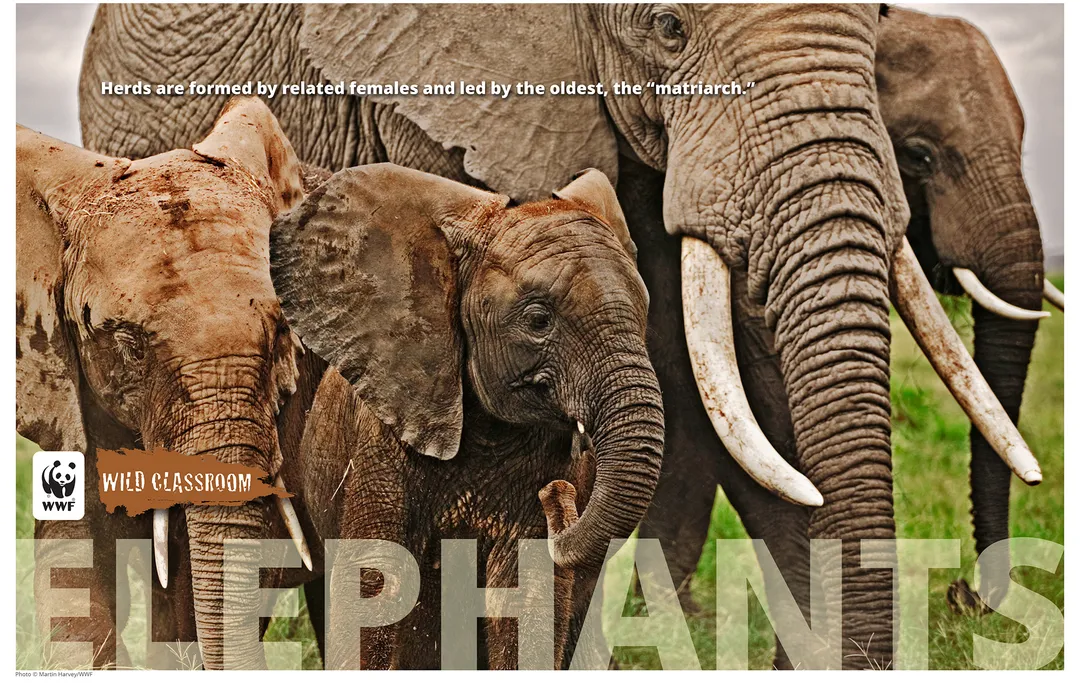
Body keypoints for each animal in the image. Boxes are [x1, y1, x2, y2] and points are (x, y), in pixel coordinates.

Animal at [267, 164, 663, 668]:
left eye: (644, 311)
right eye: (538, 321)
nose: (557, 495)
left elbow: (526, 600)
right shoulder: (381, 442)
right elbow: (375, 585)